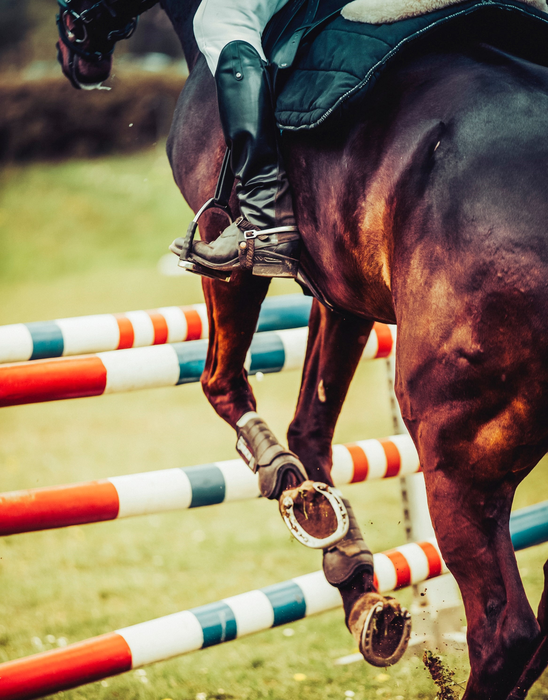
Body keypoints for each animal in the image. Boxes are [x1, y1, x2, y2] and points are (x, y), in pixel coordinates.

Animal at [54, 2, 548, 696]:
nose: (75, 49)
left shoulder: (229, 249)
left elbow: (222, 383)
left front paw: (278, 474)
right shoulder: (342, 297)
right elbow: (310, 428)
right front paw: (351, 573)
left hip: (456, 447)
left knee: (507, 632)